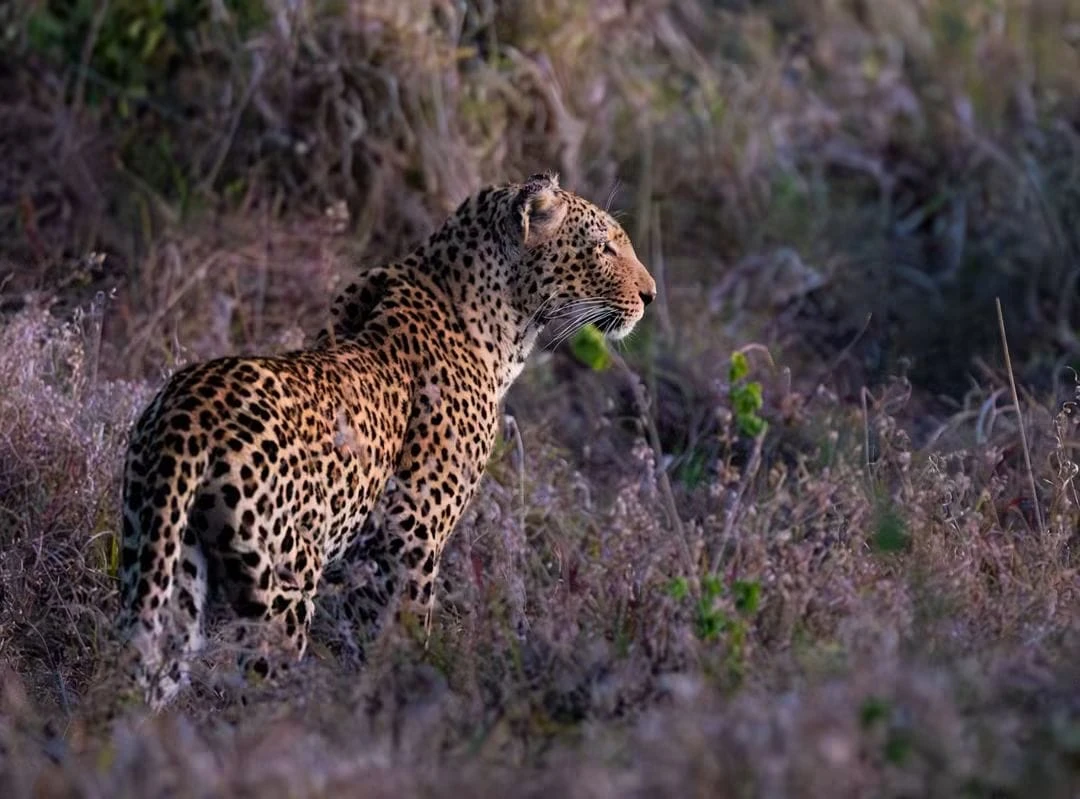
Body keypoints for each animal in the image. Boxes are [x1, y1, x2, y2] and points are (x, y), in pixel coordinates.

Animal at [117, 172, 656, 709]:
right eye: (604, 248)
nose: (650, 295)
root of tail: (189, 413)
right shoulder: (411, 528)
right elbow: (407, 629)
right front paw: (410, 690)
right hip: (281, 586)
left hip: (160, 562)